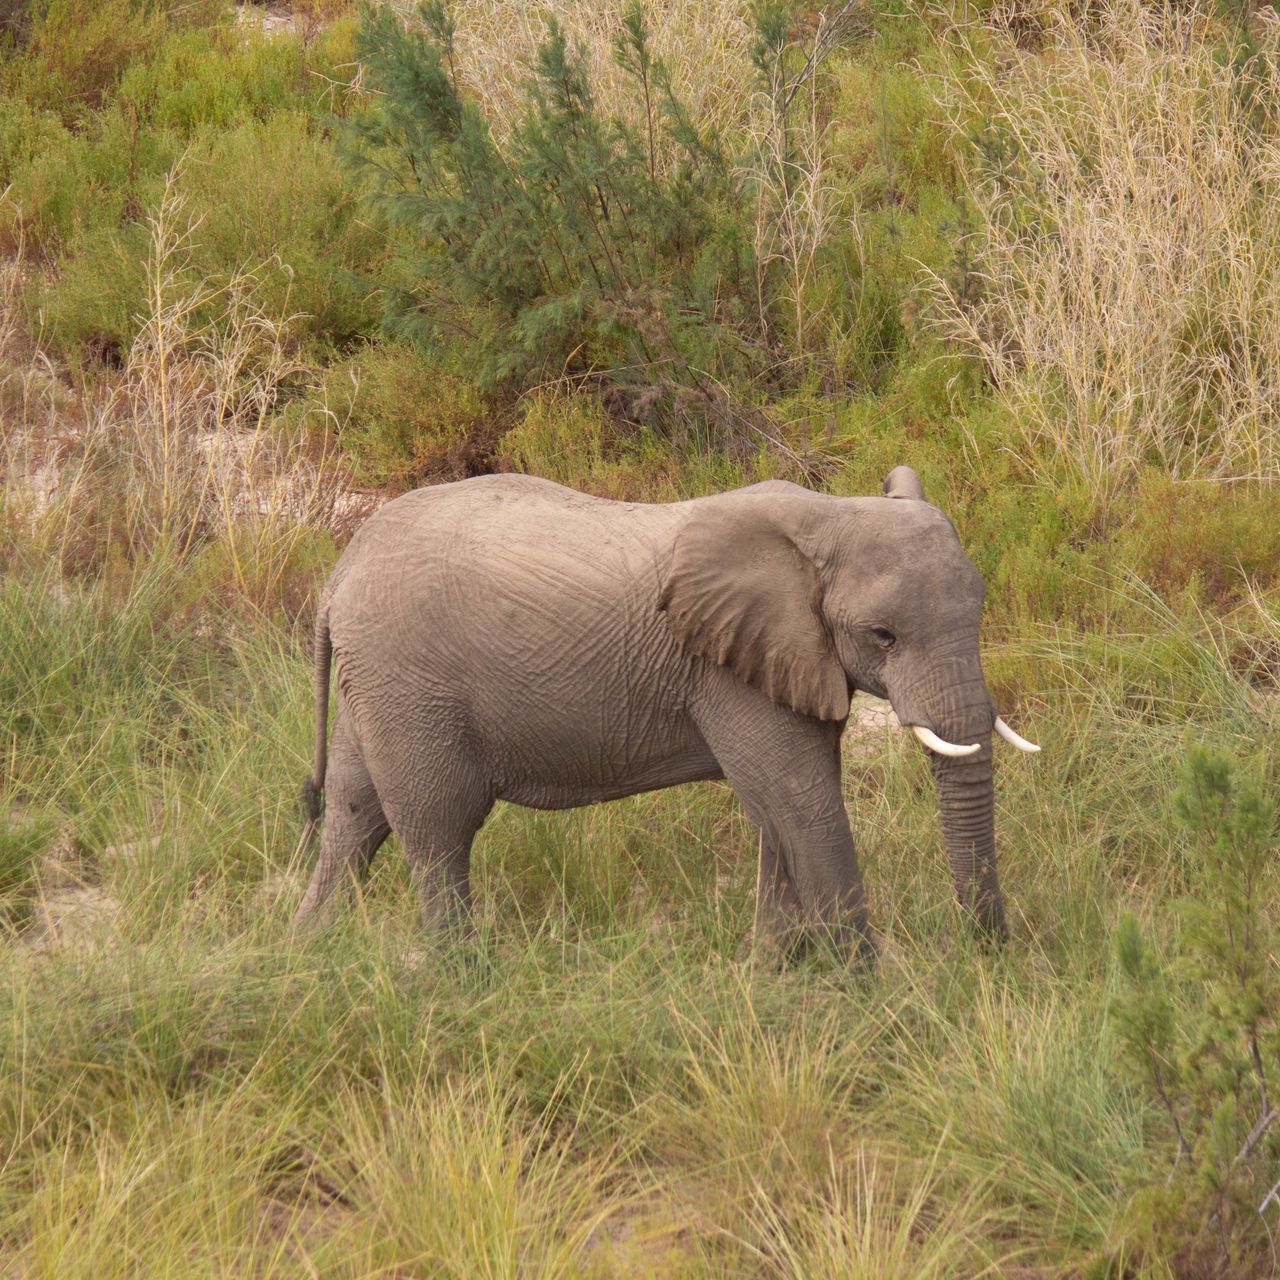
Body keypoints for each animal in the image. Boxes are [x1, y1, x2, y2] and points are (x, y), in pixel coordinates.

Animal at [293, 467, 1039, 958]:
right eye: (883, 636)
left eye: (977, 609)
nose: (985, 953)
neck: (825, 514)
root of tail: (337, 577)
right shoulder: (728, 667)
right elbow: (804, 802)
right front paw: (864, 992)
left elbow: (779, 812)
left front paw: (774, 976)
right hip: (411, 684)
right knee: (438, 829)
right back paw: (461, 978)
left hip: (378, 684)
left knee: (356, 813)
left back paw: (311, 952)